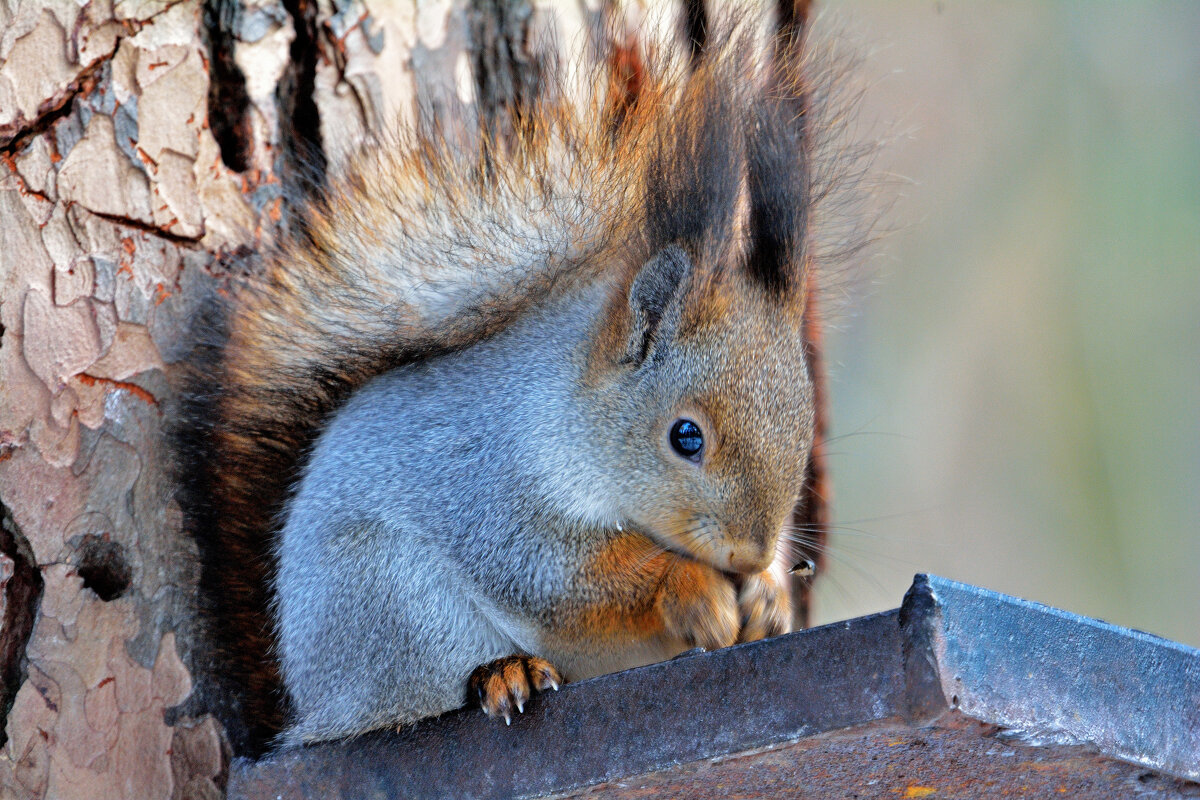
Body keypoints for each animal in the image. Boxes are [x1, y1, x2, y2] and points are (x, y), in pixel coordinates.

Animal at [180, 3, 835, 753]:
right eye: (686, 437)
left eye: (804, 429)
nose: (750, 553)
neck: (570, 410)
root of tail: (315, 701)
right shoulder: (489, 486)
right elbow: (554, 573)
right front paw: (694, 589)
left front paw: (770, 598)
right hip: (393, 605)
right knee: (423, 691)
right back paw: (501, 674)